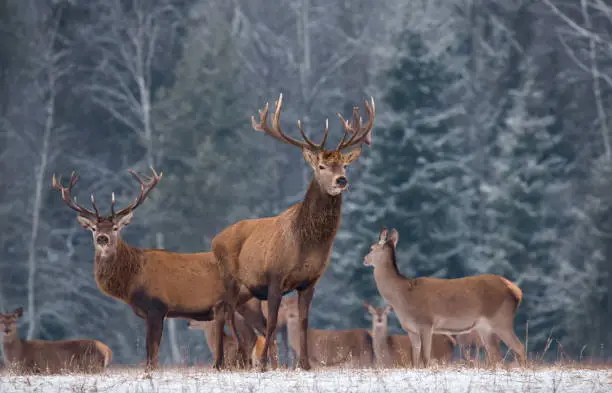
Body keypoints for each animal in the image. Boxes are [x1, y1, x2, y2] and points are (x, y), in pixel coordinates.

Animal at [210, 93, 372, 370]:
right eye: (321, 166)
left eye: (345, 166)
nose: (341, 181)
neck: (306, 245)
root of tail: (214, 239)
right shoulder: (275, 277)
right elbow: (273, 323)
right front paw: (265, 363)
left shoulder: (310, 281)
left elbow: (304, 323)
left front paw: (304, 364)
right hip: (229, 277)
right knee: (224, 311)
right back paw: (227, 361)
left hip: (246, 291)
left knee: (229, 314)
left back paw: (231, 360)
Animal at [364, 227, 524, 368]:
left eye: (372, 248)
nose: (364, 259)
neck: (402, 295)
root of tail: (517, 292)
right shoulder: (411, 329)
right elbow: (415, 360)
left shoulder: (426, 323)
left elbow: (425, 359)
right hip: (485, 327)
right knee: (496, 355)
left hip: (501, 319)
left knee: (519, 348)